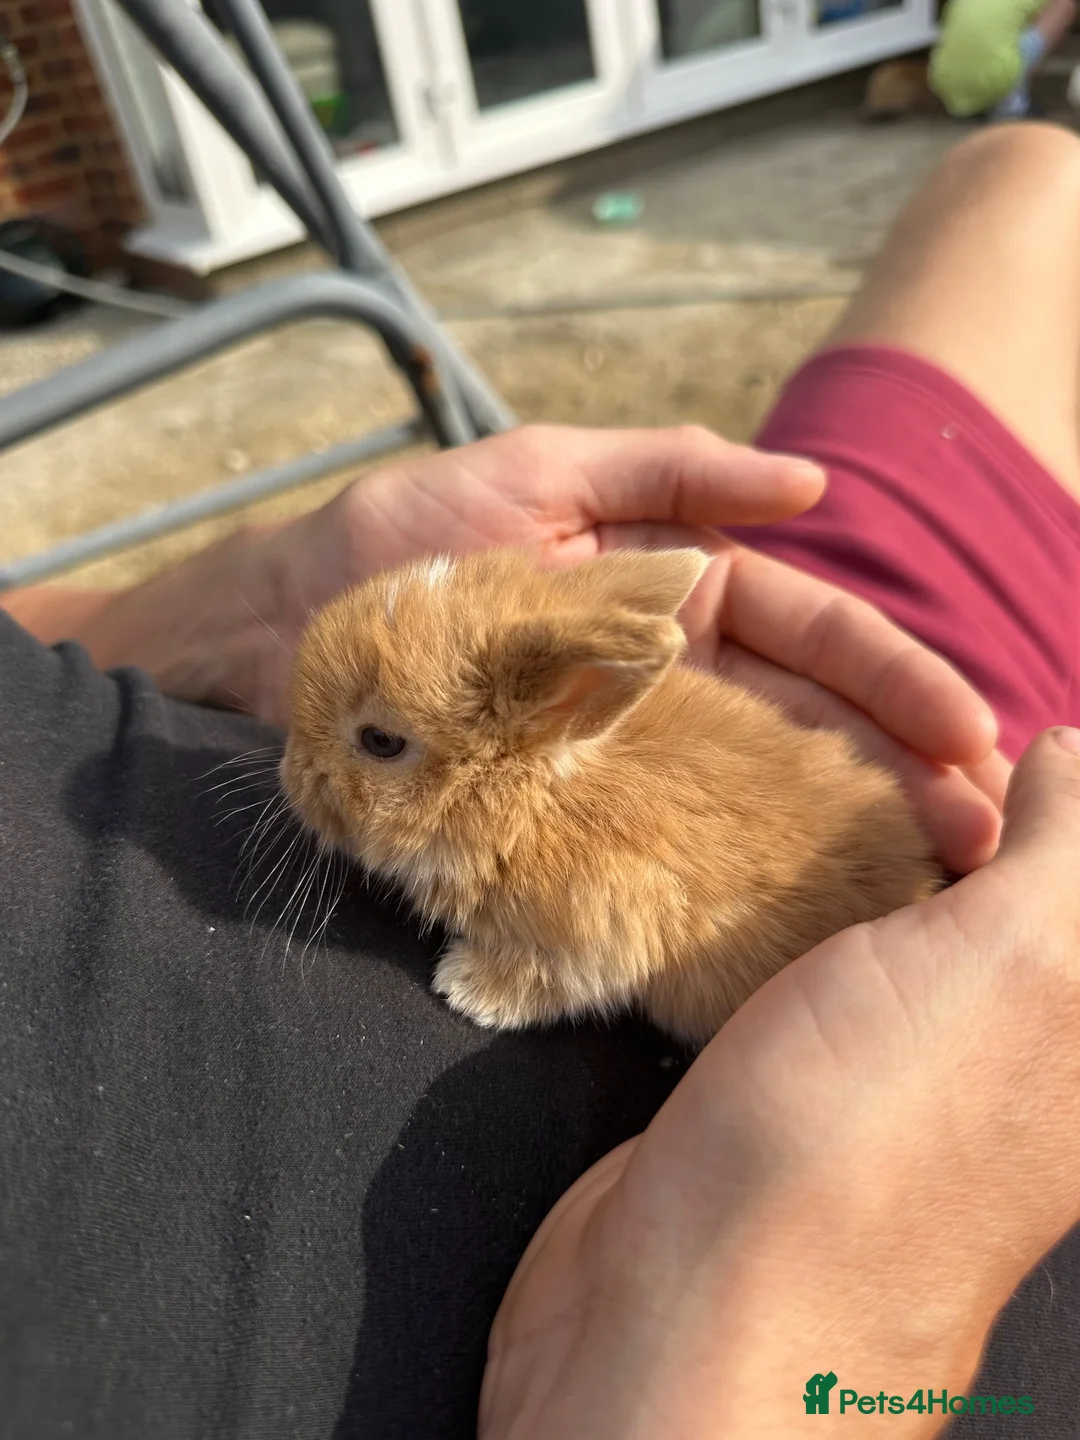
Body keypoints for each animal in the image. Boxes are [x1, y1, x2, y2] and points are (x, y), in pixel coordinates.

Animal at [281, 547, 940, 1049]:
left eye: (381, 741)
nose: (291, 776)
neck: (532, 804)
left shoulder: (597, 933)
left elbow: (548, 982)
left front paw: (462, 989)